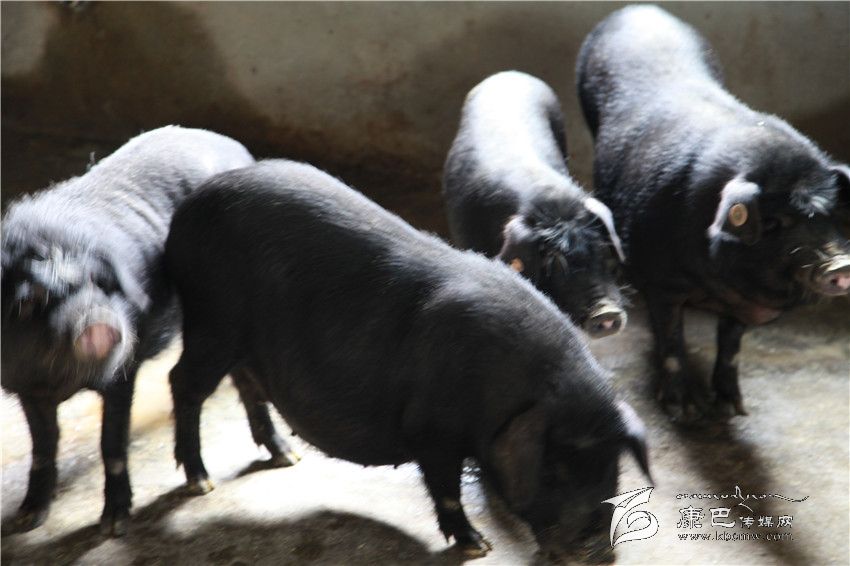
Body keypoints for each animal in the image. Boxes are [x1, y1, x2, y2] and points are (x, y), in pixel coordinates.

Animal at [0, 126, 265, 536]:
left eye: (100, 284)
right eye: (30, 301)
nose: (97, 322)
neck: (63, 378)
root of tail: (233, 146)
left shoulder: (122, 371)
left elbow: (112, 443)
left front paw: (114, 526)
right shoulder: (24, 386)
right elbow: (44, 446)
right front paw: (27, 519)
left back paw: (208, 483)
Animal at [164, 159, 651, 559]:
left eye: (611, 466)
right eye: (551, 472)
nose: (597, 550)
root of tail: (190, 208)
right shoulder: (430, 430)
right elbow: (446, 488)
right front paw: (478, 546)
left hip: (242, 341)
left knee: (246, 384)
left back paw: (287, 456)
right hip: (212, 320)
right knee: (183, 383)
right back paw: (200, 481)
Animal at [577, 5, 850, 418]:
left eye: (832, 214)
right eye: (773, 223)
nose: (839, 263)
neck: (712, 283)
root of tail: (641, 8)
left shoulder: (739, 304)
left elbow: (732, 346)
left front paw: (733, 407)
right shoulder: (661, 282)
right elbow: (672, 339)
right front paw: (685, 411)